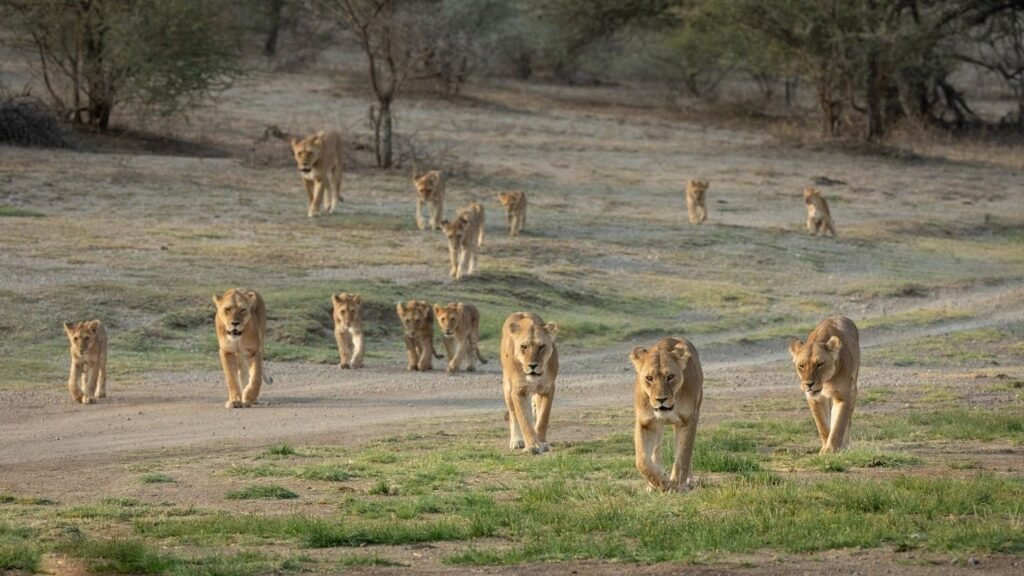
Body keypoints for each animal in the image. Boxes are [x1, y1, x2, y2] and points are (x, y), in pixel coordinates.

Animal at [500, 312, 559, 455]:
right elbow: (524, 419)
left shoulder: (548, 388)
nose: (532, 365)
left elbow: (543, 417)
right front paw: (533, 446)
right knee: (513, 415)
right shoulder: (518, 391)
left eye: (542, 346)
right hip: (507, 389)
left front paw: (541, 442)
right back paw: (516, 440)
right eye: (524, 347)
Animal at [629, 337, 703, 492]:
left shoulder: (688, 421)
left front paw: (677, 486)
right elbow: (642, 461)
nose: (661, 399)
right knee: (656, 452)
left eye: (670, 376)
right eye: (649, 378)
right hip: (658, 428)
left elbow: (683, 457)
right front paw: (662, 483)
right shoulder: (645, 423)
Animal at [788, 316, 860, 453]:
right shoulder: (815, 399)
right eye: (801, 365)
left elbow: (839, 424)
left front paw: (831, 449)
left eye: (819, 364)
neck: (826, 381)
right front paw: (825, 447)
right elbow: (822, 425)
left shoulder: (844, 396)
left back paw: (845, 444)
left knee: (847, 419)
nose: (809, 384)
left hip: (853, 388)